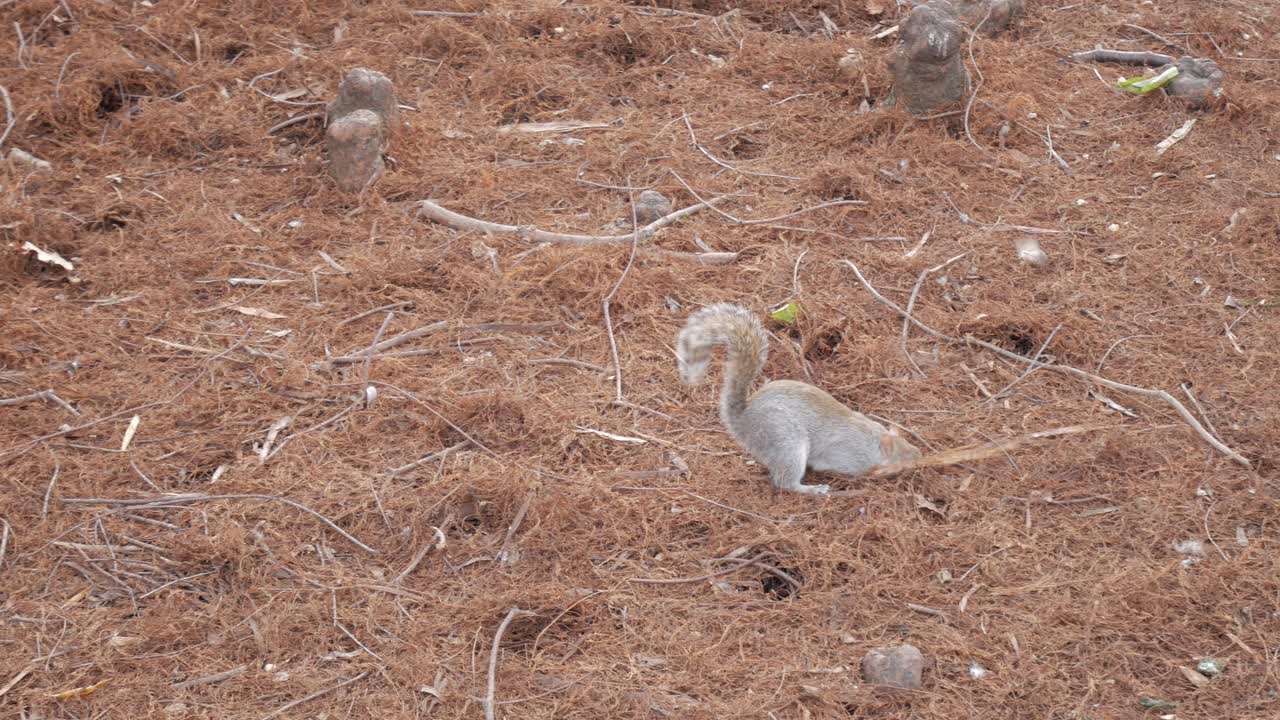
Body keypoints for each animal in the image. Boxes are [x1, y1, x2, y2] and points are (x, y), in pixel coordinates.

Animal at [676, 303, 921, 495]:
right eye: (902, 460)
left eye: (911, 444)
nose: (920, 459)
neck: (873, 442)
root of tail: (743, 421)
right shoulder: (845, 454)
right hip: (786, 442)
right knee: (784, 481)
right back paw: (812, 489)